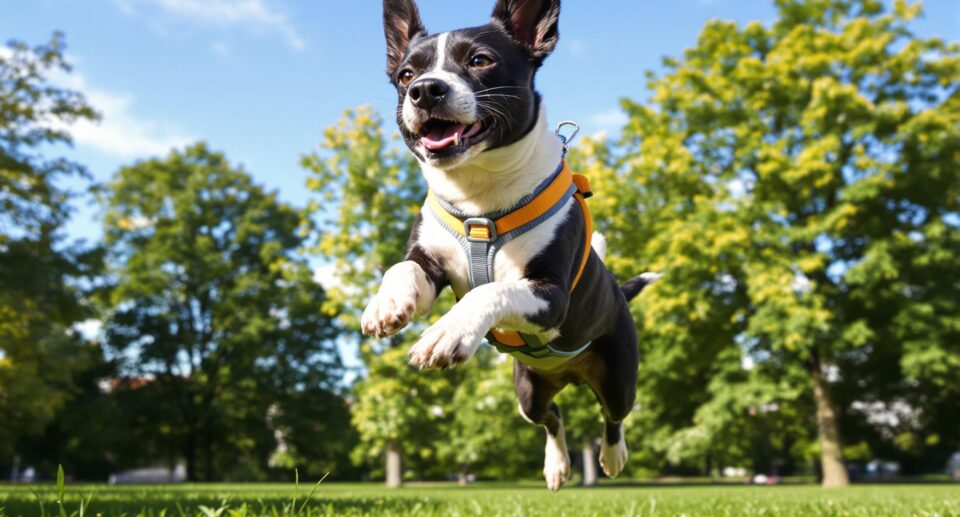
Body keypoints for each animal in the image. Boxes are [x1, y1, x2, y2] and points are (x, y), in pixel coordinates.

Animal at [364, 0, 656, 490]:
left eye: (480, 60)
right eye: (406, 74)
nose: (425, 90)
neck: (480, 197)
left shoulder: (550, 295)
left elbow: (491, 291)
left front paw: (447, 333)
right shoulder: (430, 260)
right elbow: (403, 267)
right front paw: (386, 304)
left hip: (619, 375)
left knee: (613, 416)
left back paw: (613, 456)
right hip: (527, 391)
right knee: (552, 417)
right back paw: (556, 466)